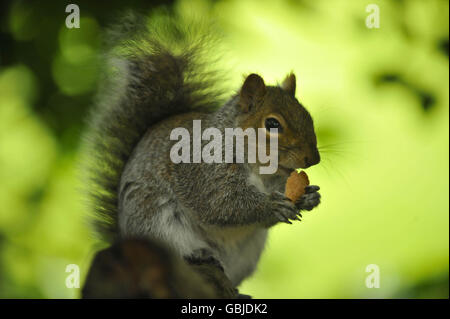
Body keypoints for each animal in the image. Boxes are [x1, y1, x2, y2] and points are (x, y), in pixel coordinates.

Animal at [82, 13, 322, 300]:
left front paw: (309, 196)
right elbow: (220, 203)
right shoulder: (203, 170)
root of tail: (124, 236)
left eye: (308, 115)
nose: (313, 159)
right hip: (154, 218)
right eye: (272, 124)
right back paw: (197, 254)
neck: (259, 167)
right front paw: (270, 206)